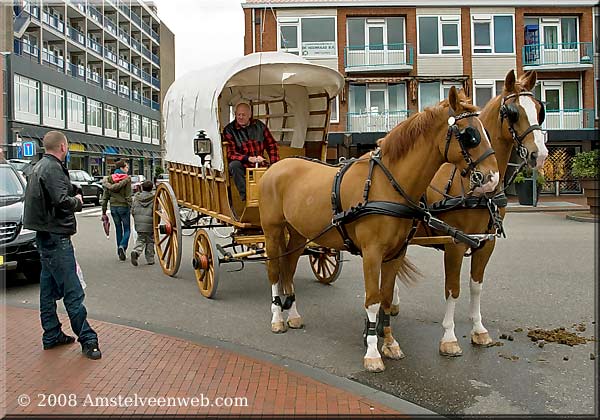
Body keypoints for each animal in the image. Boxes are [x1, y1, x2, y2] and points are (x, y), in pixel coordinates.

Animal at [260, 87, 500, 372]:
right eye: (470, 135)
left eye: (486, 131)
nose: (493, 178)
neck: (386, 185)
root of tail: (277, 165)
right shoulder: (372, 253)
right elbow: (373, 300)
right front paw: (373, 353)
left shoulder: (396, 253)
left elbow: (385, 297)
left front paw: (390, 343)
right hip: (273, 232)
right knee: (275, 271)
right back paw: (276, 317)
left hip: (299, 233)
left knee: (289, 267)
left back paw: (294, 314)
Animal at [392, 69, 552, 358]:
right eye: (513, 112)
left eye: (539, 109)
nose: (540, 154)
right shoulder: (455, 243)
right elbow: (452, 289)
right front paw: (449, 337)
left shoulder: (485, 243)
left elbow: (476, 286)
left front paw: (479, 330)